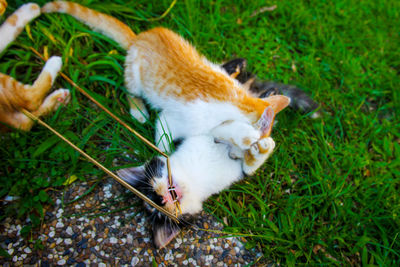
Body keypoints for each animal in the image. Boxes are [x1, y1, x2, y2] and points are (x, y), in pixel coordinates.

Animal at [0, 2, 69, 132]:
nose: (5, 4)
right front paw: (29, 11)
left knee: (24, 123)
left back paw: (58, 101)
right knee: (31, 98)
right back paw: (54, 63)